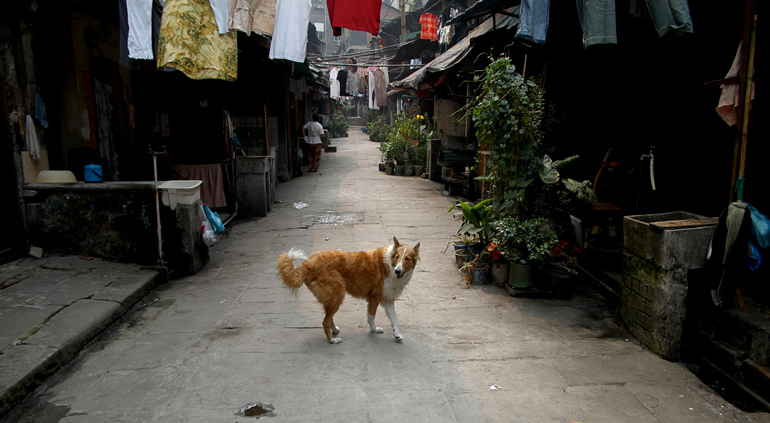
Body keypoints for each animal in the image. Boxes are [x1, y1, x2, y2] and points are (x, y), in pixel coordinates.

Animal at [276, 238, 420, 344]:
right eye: (397, 257)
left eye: (407, 259)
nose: (397, 271)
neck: (389, 265)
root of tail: (307, 263)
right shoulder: (375, 298)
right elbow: (371, 316)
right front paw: (374, 329)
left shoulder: (388, 299)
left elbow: (394, 319)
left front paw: (397, 334)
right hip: (337, 295)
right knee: (325, 321)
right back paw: (332, 340)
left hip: (333, 297)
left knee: (329, 317)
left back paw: (334, 331)